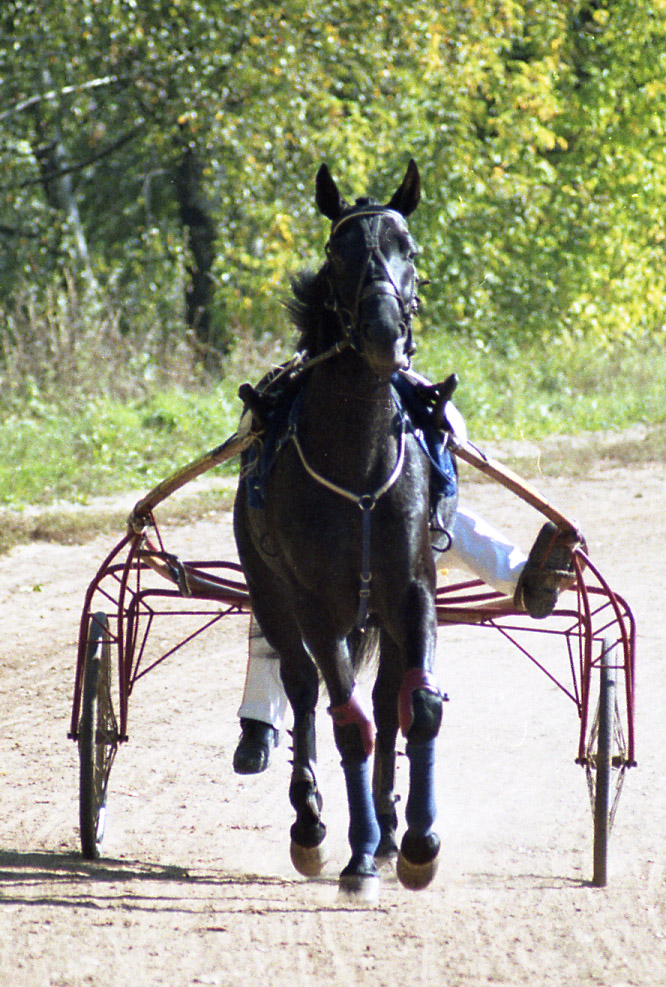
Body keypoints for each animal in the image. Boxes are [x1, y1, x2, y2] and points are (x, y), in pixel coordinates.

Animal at [231, 160, 454, 896]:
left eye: (407, 246)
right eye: (339, 251)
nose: (384, 331)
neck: (356, 463)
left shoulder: (411, 587)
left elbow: (417, 706)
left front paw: (416, 841)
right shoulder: (317, 602)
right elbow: (344, 719)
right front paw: (358, 853)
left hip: (376, 607)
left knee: (385, 701)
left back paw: (386, 823)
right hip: (272, 590)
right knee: (304, 687)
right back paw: (313, 823)